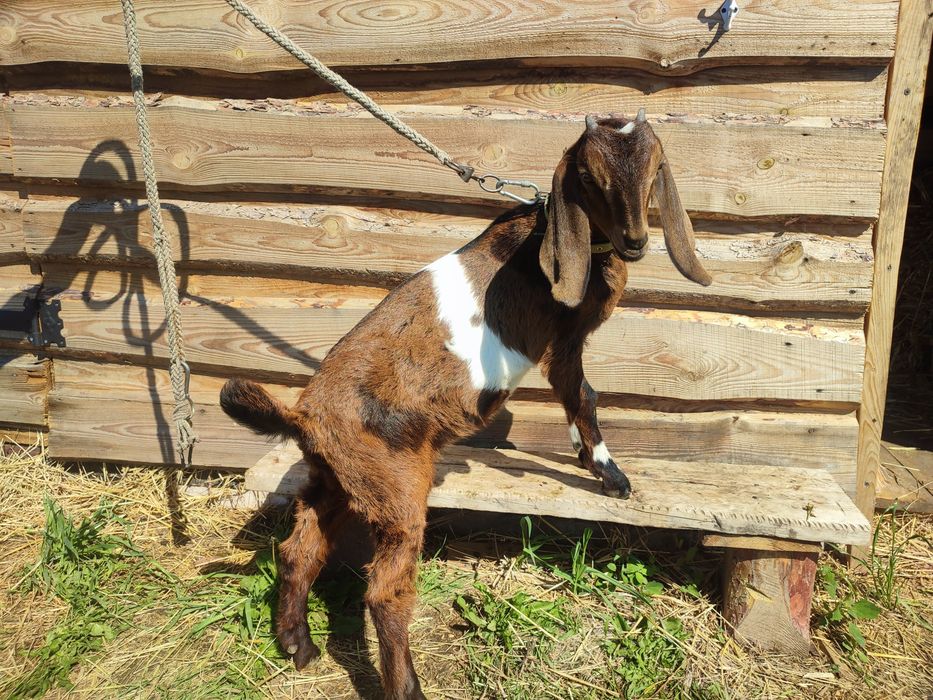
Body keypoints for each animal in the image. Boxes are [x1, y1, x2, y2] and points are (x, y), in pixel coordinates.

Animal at [220, 111, 711, 699]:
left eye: (656, 167)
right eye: (589, 177)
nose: (635, 240)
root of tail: (303, 415)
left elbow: (576, 400)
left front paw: (583, 457)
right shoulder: (564, 340)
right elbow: (583, 395)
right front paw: (611, 477)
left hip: (338, 480)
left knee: (301, 549)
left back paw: (298, 645)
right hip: (396, 489)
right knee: (383, 592)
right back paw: (407, 687)